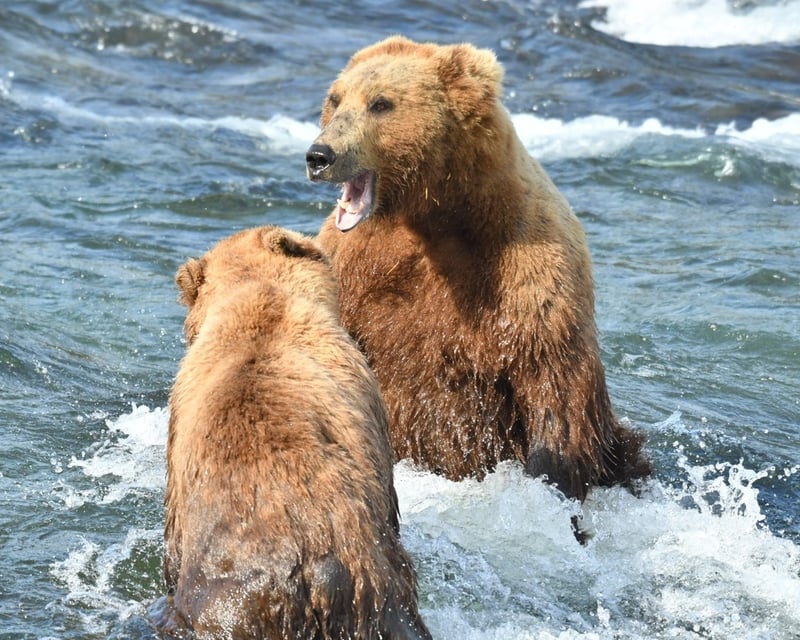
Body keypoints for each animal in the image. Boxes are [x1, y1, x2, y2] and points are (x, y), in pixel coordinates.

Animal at [305, 36, 650, 501]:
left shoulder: (526, 273)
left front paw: (551, 480)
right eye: (335, 98)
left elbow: (551, 384)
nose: (319, 155)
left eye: (381, 103)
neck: (437, 215)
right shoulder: (357, 265)